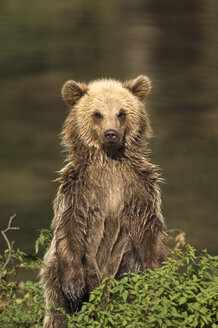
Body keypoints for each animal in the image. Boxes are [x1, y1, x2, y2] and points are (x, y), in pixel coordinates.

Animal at [40, 75, 167, 326]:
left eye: (121, 112)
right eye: (97, 114)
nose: (111, 133)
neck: (109, 160)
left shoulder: (139, 187)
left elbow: (149, 226)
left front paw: (156, 273)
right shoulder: (79, 189)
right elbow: (70, 226)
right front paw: (74, 289)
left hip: (126, 269)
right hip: (55, 274)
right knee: (57, 311)